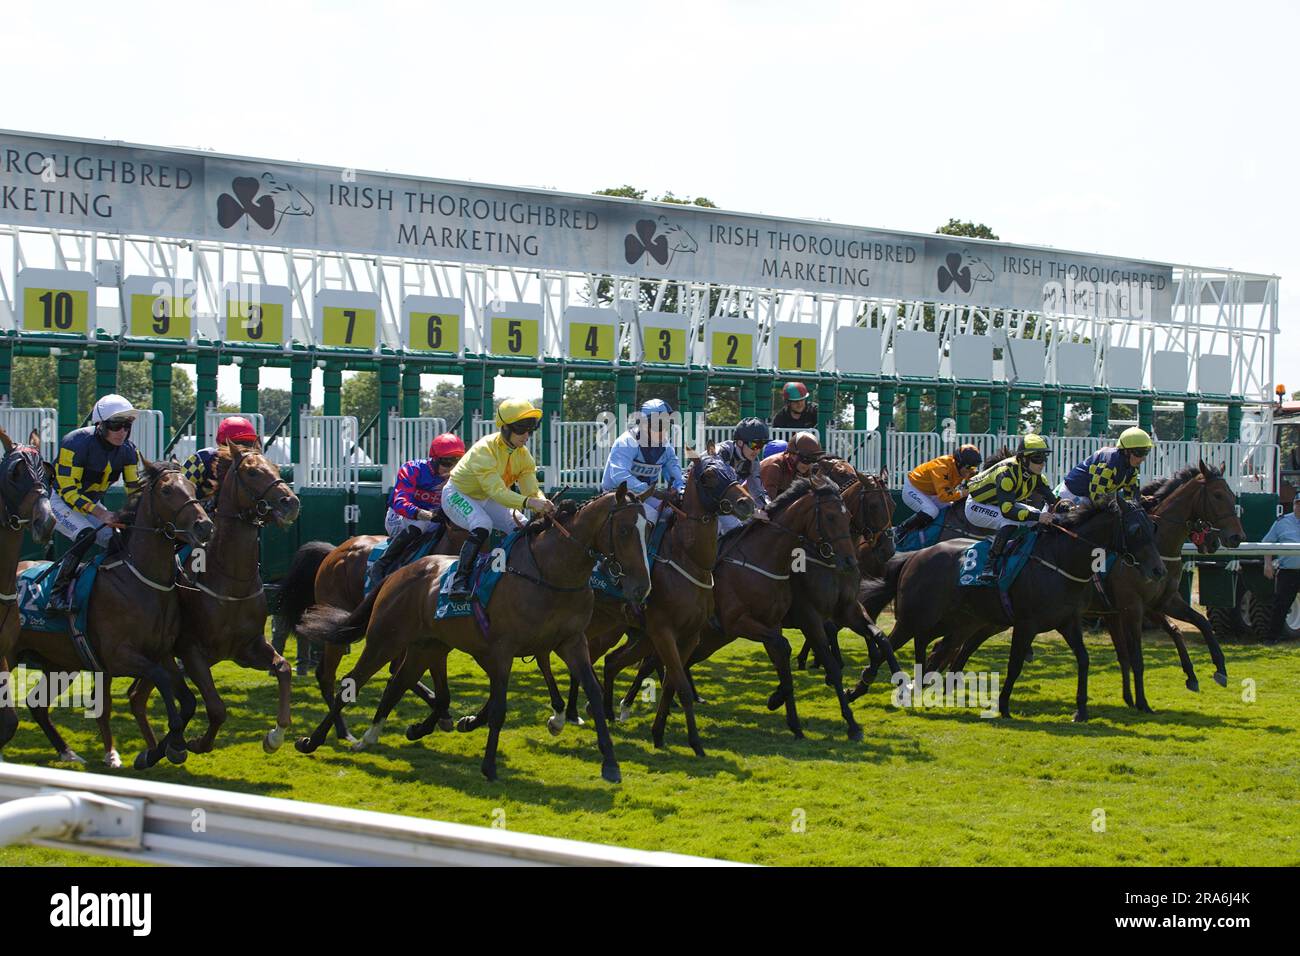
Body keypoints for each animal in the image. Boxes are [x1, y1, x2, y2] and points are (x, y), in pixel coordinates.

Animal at [11, 460, 213, 764]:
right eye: (166, 490)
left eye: (191, 486)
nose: (204, 525)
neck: (140, 581)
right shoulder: (119, 657)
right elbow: (162, 680)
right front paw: (172, 746)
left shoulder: (163, 652)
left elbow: (188, 701)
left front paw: (155, 752)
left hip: (60, 663)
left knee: (36, 705)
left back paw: (67, 752)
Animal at [126, 447, 299, 754]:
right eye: (252, 472)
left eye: (278, 468)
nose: (291, 502)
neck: (232, 581)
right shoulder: (191, 651)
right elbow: (217, 708)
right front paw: (197, 743)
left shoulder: (247, 649)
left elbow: (283, 668)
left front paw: (274, 736)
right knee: (137, 695)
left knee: (136, 697)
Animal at [297, 486, 655, 785]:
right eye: (624, 530)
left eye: (648, 528)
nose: (642, 587)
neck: (549, 573)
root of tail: (398, 573)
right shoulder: (501, 650)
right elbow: (498, 707)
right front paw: (489, 765)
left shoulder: (571, 642)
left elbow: (592, 691)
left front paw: (610, 763)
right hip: (383, 639)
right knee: (348, 683)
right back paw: (314, 740)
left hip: (426, 646)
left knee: (396, 684)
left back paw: (370, 736)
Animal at [868, 496, 1164, 723]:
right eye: (1135, 529)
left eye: (1153, 527)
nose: (1158, 570)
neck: (1060, 560)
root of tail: (914, 556)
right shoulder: (1026, 624)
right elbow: (1015, 664)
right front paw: (1004, 705)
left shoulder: (1069, 622)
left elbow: (1083, 659)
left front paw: (1081, 710)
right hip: (916, 619)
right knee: (897, 644)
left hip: (958, 621)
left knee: (936, 647)